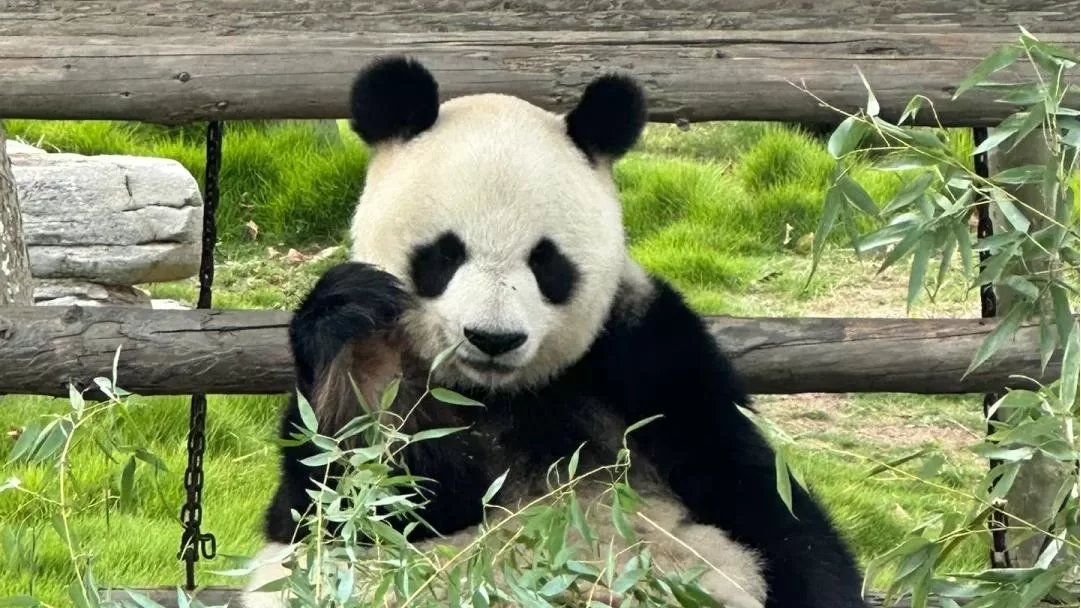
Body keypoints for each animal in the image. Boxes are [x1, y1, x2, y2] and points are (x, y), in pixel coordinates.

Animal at [240, 56, 866, 608]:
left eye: (547, 263)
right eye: (444, 255)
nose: (492, 339)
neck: (499, 394)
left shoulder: (644, 352)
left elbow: (752, 489)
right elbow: (336, 504)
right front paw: (349, 333)